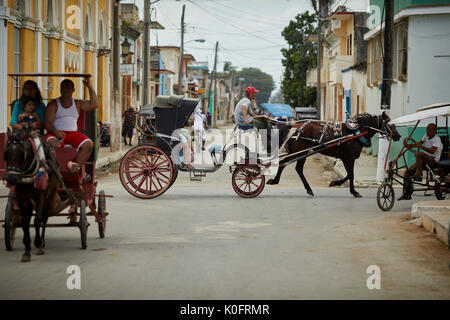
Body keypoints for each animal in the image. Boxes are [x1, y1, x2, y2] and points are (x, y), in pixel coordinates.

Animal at [3, 129, 62, 262]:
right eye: (6, 154)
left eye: (22, 154)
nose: (11, 179)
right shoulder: (20, 196)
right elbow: (25, 222)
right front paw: (27, 250)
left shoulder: (41, 194)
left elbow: (38, 220)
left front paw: (38, 243)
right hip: (29, 199)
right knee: (29, 215)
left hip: (49, 194)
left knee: (44, 217)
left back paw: (42, 241)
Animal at [268, 112, 400, 198]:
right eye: (390, 124)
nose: (398, 136)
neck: (355, 133)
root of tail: (294, 127)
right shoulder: (349, 158)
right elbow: (351, 175)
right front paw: (350, 190)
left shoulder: (347, 158)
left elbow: (349, 175)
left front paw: (338, 184)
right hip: (299, 152)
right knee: (283, 162)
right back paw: (274, 180)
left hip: (303, 153)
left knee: (297, 168)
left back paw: (308, 189)